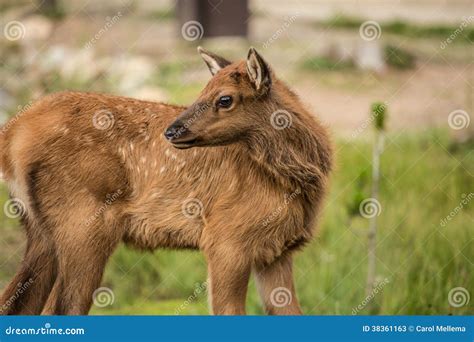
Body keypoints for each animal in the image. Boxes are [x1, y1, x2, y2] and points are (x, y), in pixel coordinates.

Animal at [0, 47, 334, 316]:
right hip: (83, 225)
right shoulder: (226, 239)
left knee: (18, 304)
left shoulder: (277, 252)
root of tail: (13, 134)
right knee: (61, 308)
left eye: (225, 98)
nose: (172, 131)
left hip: (42, 232)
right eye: (202, 91)